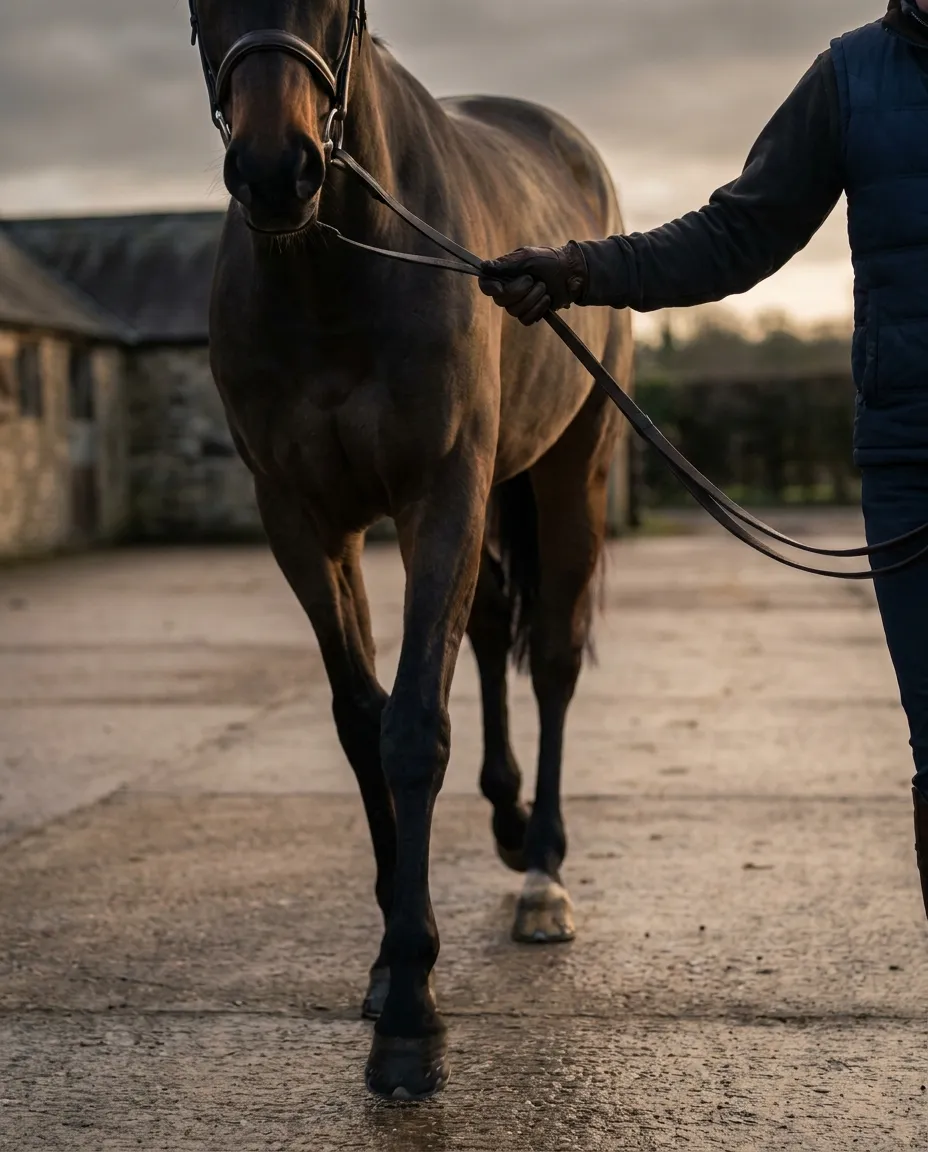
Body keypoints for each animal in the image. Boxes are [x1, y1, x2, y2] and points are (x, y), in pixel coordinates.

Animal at [189, 0, 632, 1100]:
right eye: (200, 5)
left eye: (334, 6)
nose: (277, 170)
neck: (334, 272)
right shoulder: (304, 522)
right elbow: (362, 721)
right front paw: (392, 962)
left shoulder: (441, 495)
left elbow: (412, 731)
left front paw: (410, 1019)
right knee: (492, 623)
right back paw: (509, 821)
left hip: (572, 469)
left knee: (551, 655)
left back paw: (543, 872)